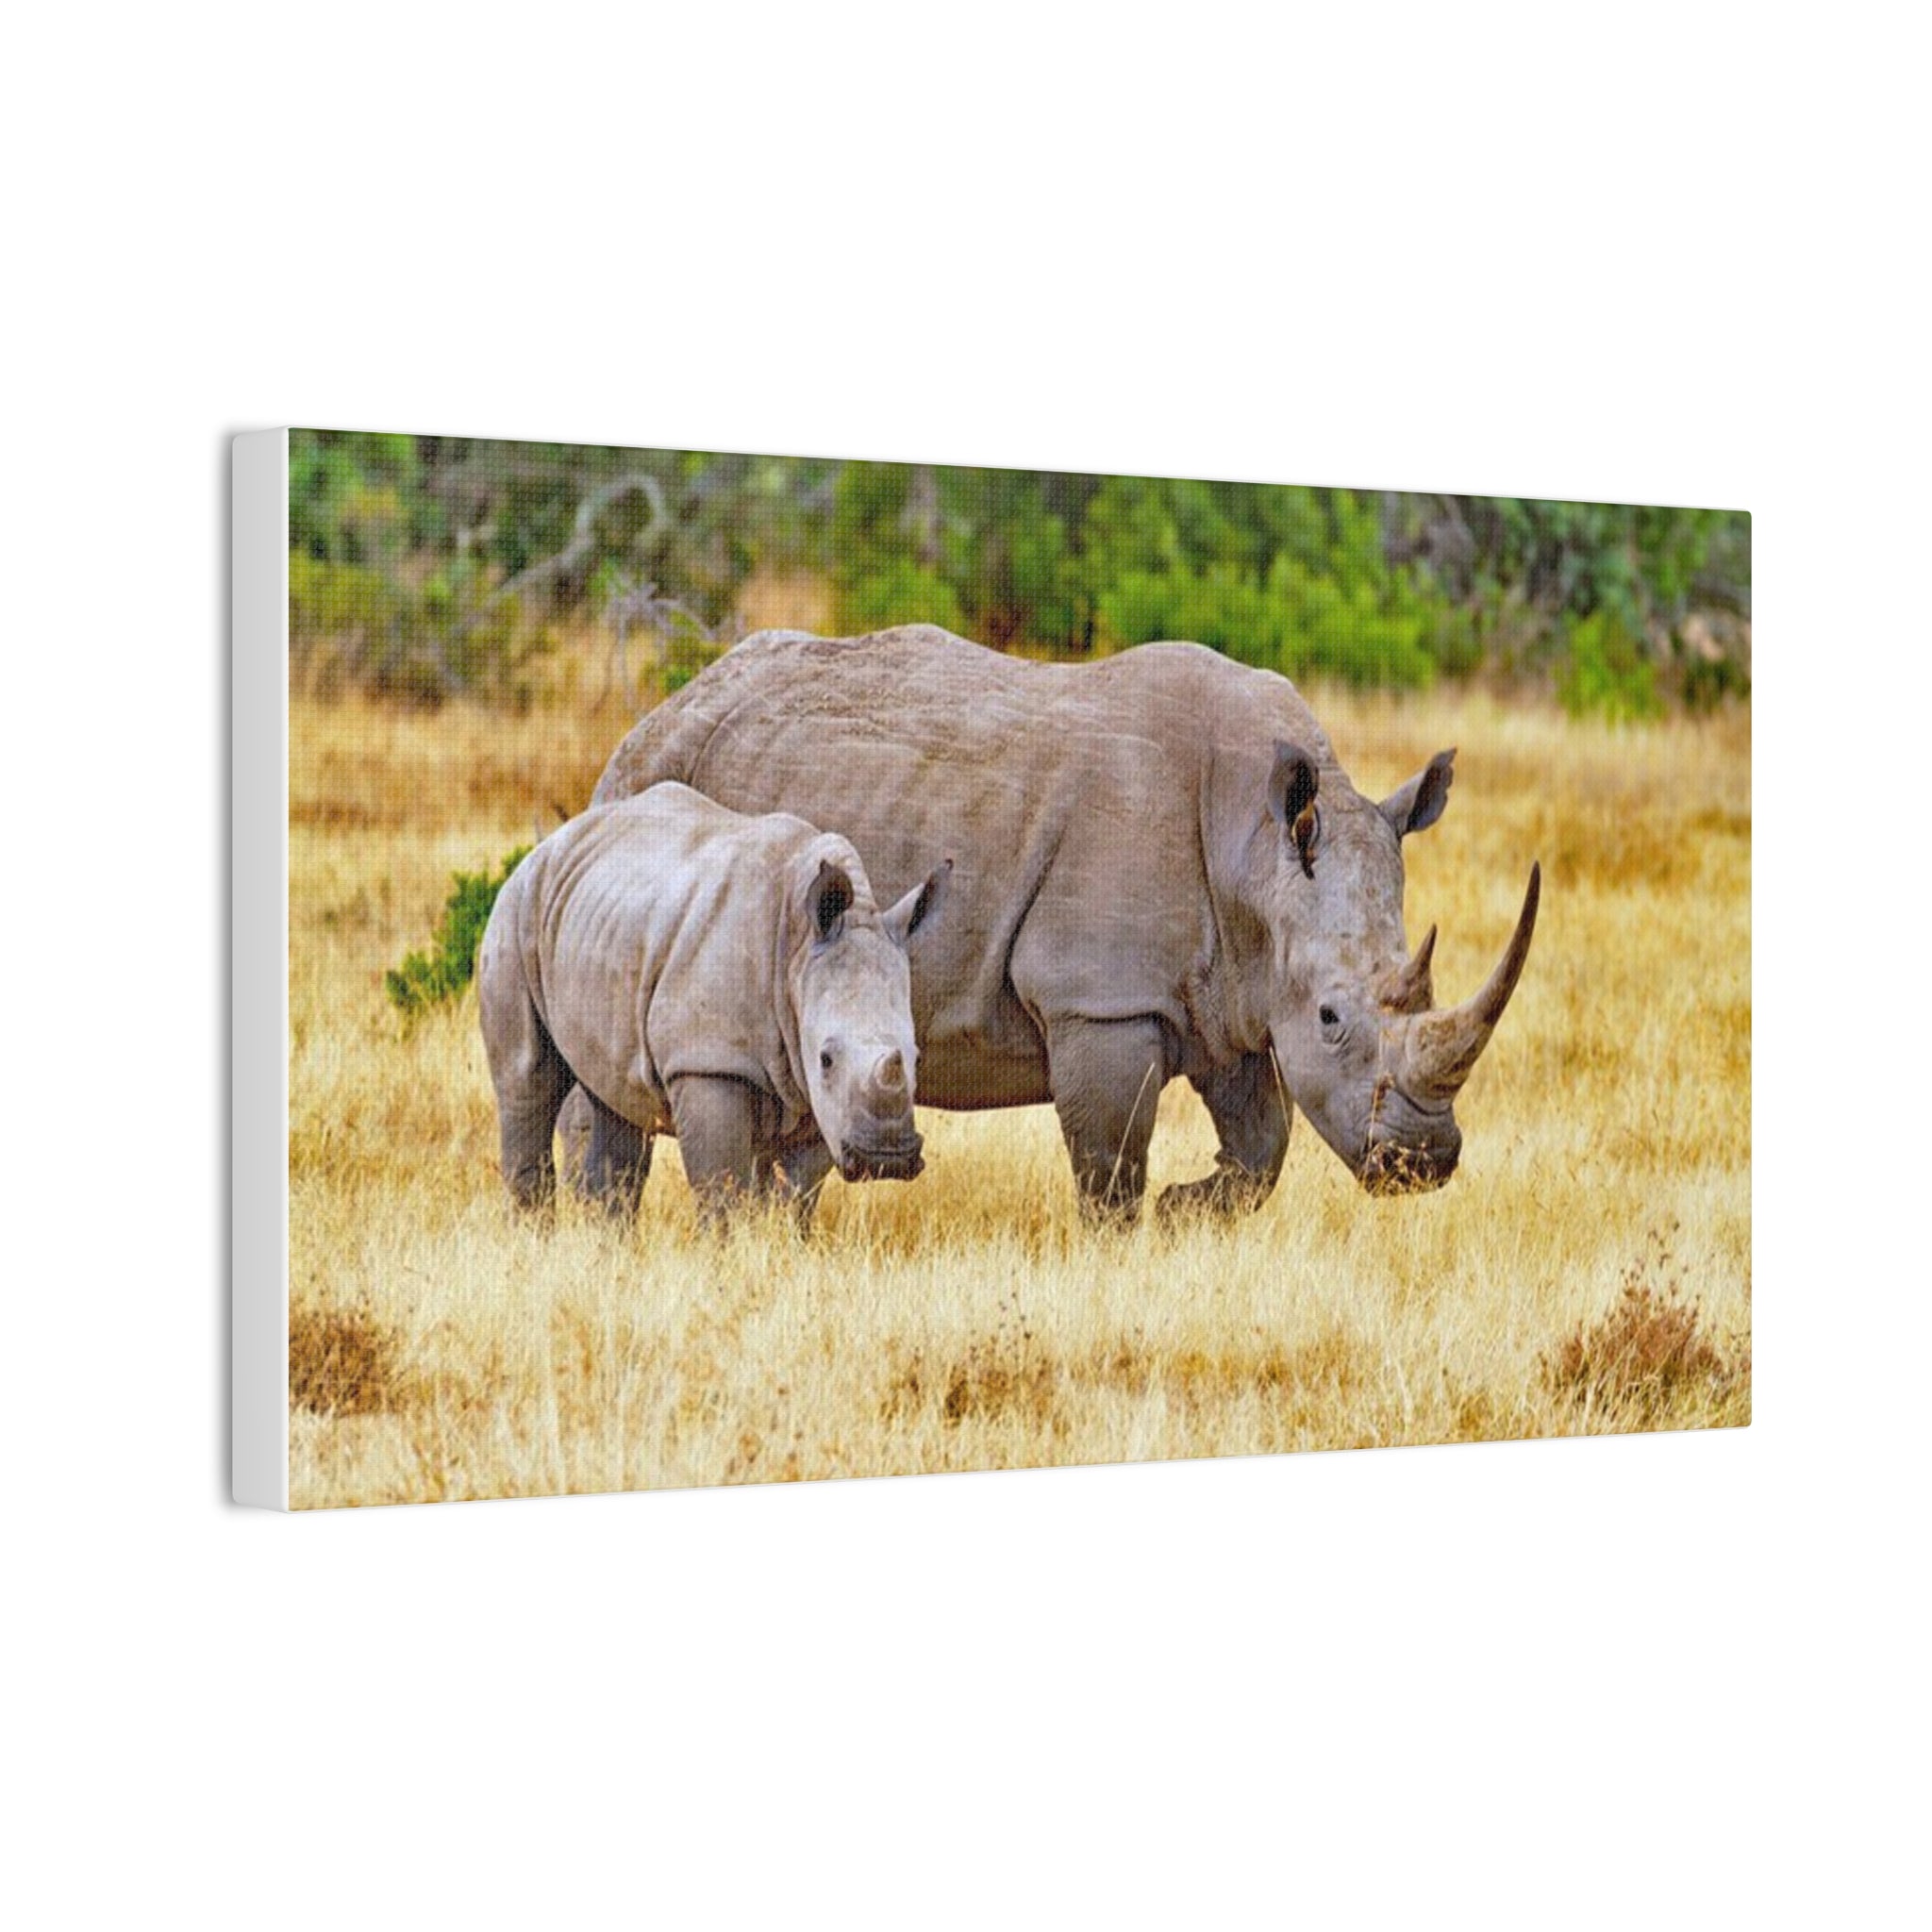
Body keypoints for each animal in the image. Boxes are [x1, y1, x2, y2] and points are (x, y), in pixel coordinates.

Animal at [478, 781, 949, 1226]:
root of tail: (551, 843)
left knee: (616, 1100)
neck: (797, 950)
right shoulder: (708, 1060)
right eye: (826, 1059)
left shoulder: (818, 1095)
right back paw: (532, 1234)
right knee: (528, 1080)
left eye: (916, 1057)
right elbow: (720, 1188)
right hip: (516, 910)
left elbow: (796, 1194)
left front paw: (781, 1242)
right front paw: (724, 1249)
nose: (885, 1160)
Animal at [589, 625, 1540, 1224]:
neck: (1257, 851)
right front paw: (1133, 1238)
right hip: (648, 782)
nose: (1422, 1162)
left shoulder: (1229, 992)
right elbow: (1111, 1163)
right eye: (1333, 1018)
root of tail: (660, 709)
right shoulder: (1101, 999)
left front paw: (1189, 1210)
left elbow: (1263, 1146)